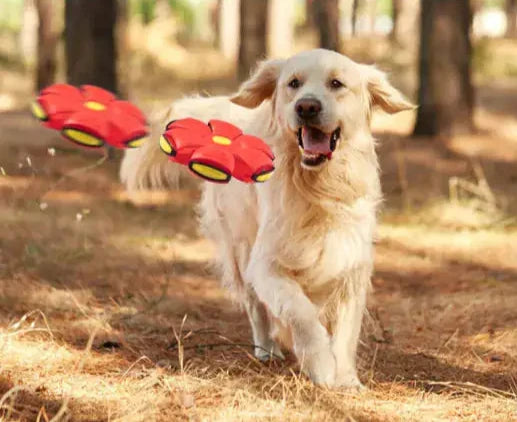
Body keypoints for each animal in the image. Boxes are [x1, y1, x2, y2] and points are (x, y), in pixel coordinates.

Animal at [120, 49, 412, 390]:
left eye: (336, 83)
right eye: (293, 83)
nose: (307, 106)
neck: (317, 188)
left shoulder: (351, 265)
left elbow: (345, 332)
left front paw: (346, 378)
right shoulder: (266, 264)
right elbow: (301, 312)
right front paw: (321, 364)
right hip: (240, 248)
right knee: (255, 306)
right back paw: (266, 349)